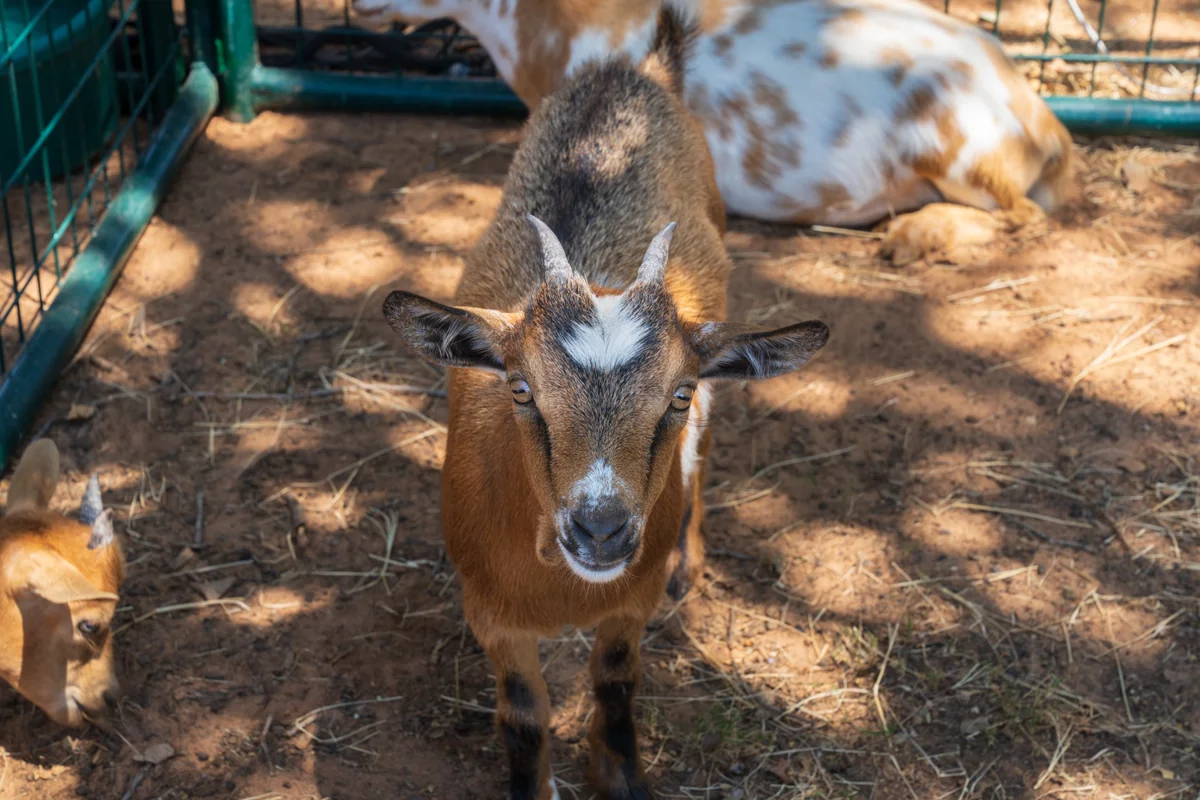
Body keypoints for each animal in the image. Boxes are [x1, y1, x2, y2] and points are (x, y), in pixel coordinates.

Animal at [383, 10, 828, 798]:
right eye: (520, 387)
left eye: (677, 393)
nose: (601, 531)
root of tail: (639, 71)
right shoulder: (491, 617)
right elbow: (523, 715)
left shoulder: (630, 604)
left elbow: (617, 684)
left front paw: (620, 777)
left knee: (704, 461)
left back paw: (688, 561)